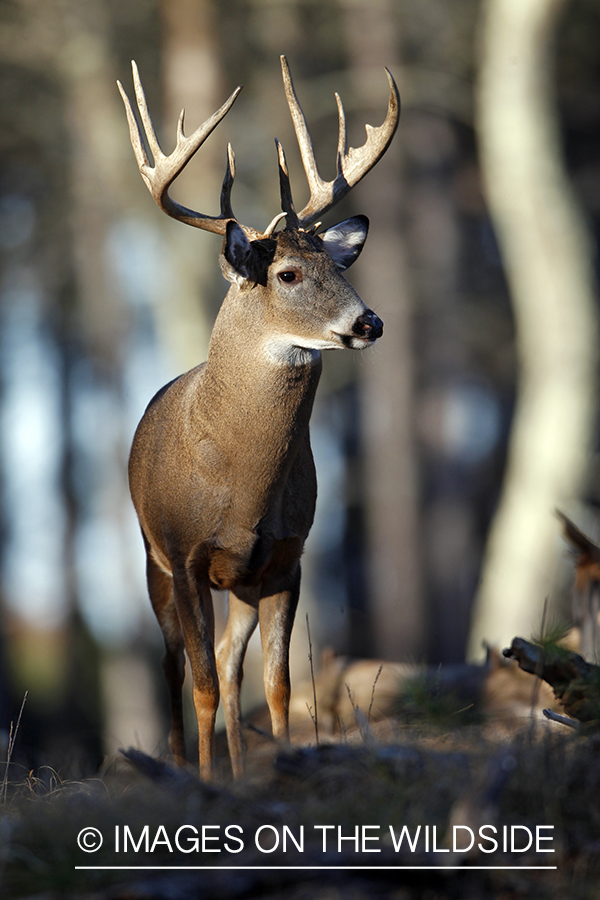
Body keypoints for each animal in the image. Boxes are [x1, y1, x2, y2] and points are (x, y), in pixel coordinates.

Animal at [117, 52, 398, 776]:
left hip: (239, 584)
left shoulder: (284, 560)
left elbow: (276, 686)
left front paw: (277, 771)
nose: (370, 321)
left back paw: (239, 767)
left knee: (226, 660)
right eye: (287, 274)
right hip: (151, 559)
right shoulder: (186, 554)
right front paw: (208, 781)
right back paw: (179, 765)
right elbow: (203, 688)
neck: (241, 482)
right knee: (175, 668)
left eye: (338, 263)